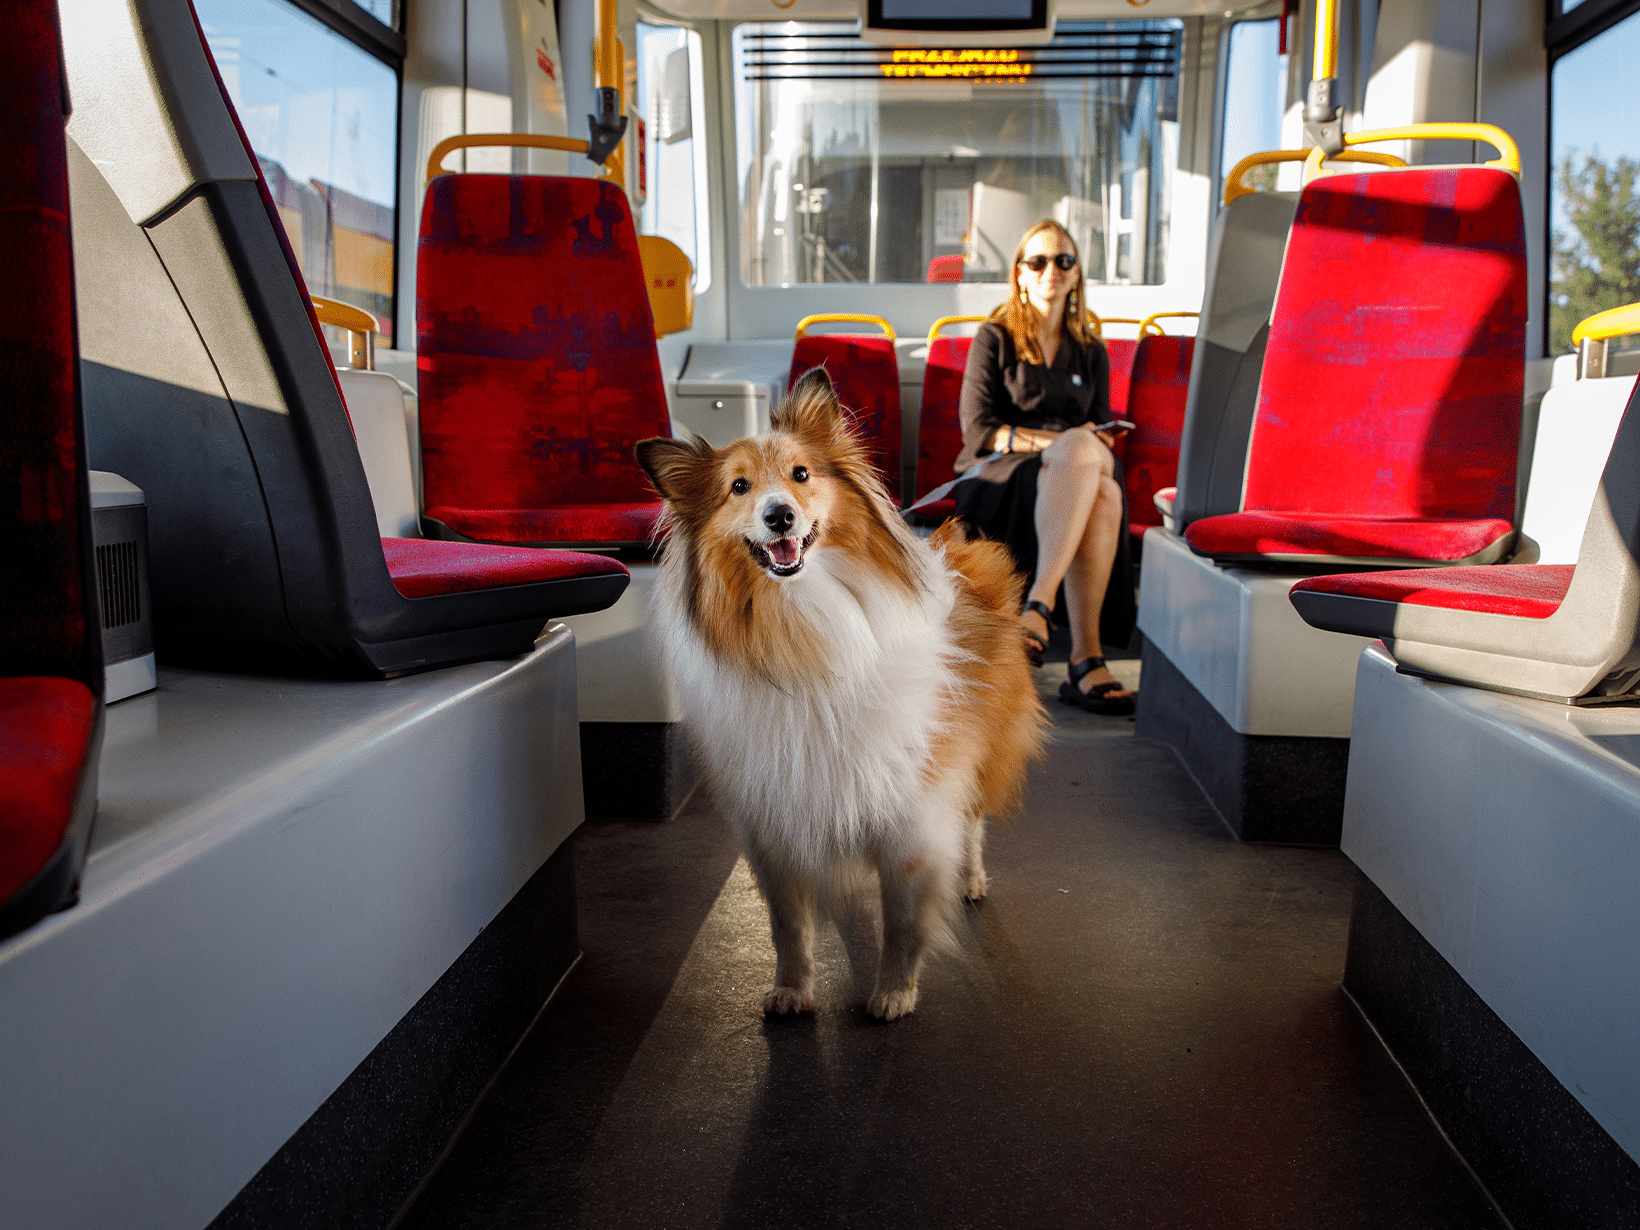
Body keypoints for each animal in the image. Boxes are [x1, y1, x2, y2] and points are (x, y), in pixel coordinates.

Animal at [633, 370, 1043, 1023]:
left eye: (801, 474)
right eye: (738, 487)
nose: (779, 516)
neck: (804, 621)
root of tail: (964, 554)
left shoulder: (911, 808)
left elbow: (904, 916)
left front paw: (894, 991)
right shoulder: (775, 818)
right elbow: (788, 924)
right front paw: (792, 990)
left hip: (980, 754)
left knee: (974, 821)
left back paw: (971, 879)